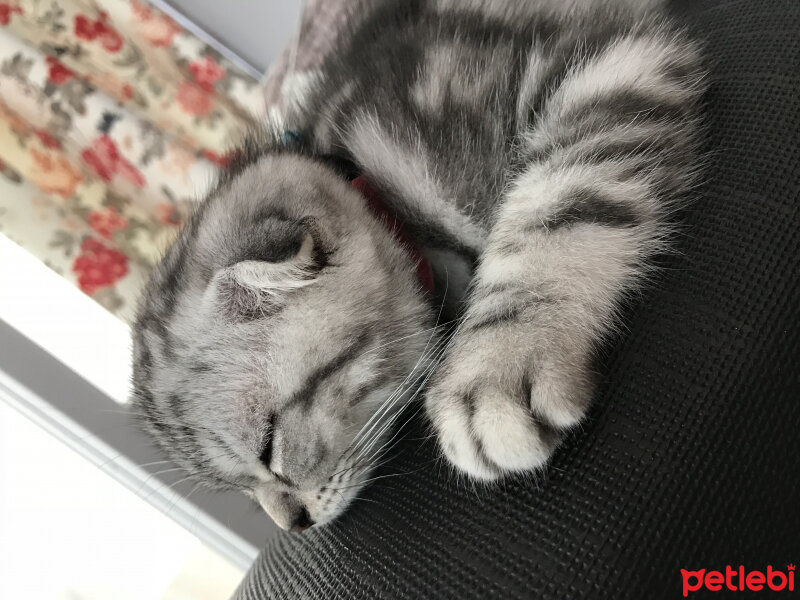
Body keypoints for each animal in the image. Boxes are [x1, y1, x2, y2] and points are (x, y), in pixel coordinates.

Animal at [131, 0, 708, 532]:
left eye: (269, 447)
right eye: (240, 490)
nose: (292, 525)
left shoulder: (606, 60)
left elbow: (564, 202)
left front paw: (499, 364)